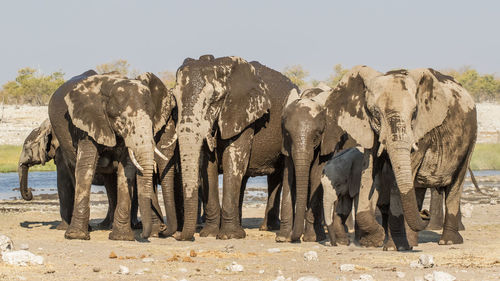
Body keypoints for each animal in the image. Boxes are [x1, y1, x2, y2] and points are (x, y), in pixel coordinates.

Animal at [48, 70, 174, 238]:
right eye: (122, 119)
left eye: (153, 117)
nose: (145, 234)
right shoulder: (86, 124)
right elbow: (86, 167)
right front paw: (76, 236)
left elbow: (126, 170)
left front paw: (122, 237)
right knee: (73, 170)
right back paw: (85, 228)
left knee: (109, 179)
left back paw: (109, 226)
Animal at [172, 55, 296, 241]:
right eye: (175, 98)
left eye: (212, 100)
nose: (177, 235)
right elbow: (208, 167)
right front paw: (209, 234)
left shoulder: (244, 115)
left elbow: (233, 161)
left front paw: (228, 236)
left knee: (277, 175)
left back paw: (268, 228)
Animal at [320, 65, 476, 245]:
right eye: (375, 113)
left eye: (414, 112)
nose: (425, 214)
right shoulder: (370, 130)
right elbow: (369, 171)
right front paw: (376, 240)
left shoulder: (421, 130)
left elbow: (397, 179)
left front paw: (391, 245)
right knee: (417, 188)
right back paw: (412, 241)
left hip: (470, 140)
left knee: (455, 185)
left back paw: (448, 241)